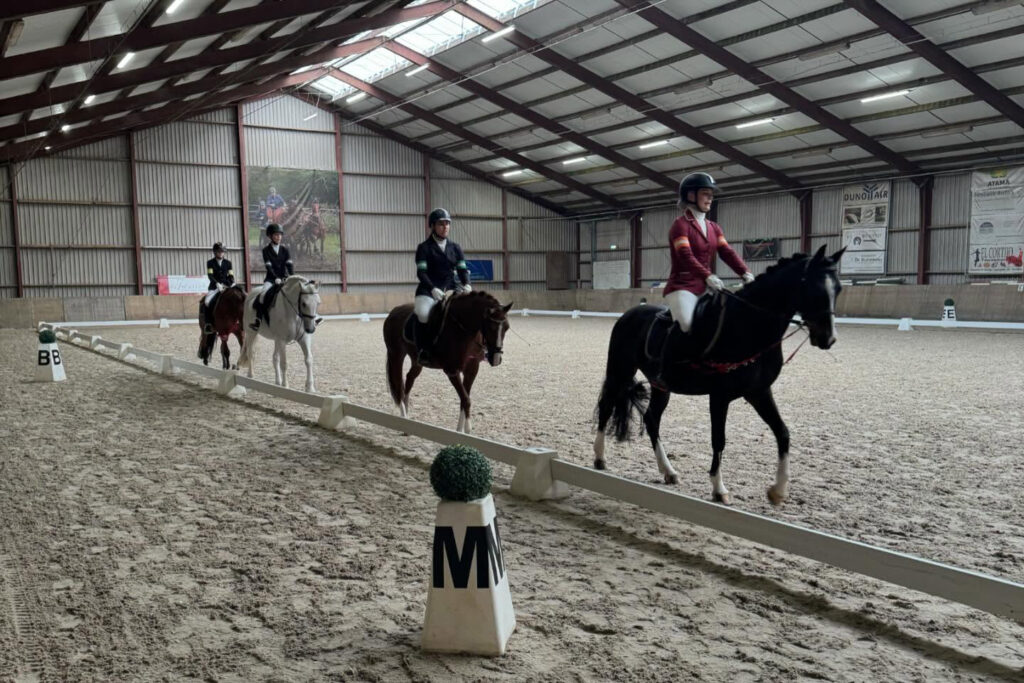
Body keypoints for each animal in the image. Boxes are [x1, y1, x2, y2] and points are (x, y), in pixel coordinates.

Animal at [382, 291, 512, 433]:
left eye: (507, 328)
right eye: (490, 327)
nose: (496, 359)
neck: (462, 328)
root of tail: (394, 311)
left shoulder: (472, 369)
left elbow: (464, 399)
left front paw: (460, 430)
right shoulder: (452, 371)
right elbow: (466, 399)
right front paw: (467, 430)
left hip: (416, 361)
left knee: (409, 378)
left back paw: (407, 422)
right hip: (396, 355)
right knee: (398, 385)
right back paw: (403, 418)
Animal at [593, 245, 846, 506]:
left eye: (838, 289)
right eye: (813, 289)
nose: (828, 338)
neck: (748, 327)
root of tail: (630, 313)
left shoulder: (759, 392)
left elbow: (783, 433)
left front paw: (778, 490)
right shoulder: (719, 396)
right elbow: (719, 439)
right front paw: (719, 489)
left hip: (661, 386)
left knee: (652, 418)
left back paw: (668, 471)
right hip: (620, 371)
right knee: (606, 408)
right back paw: (600, 459)